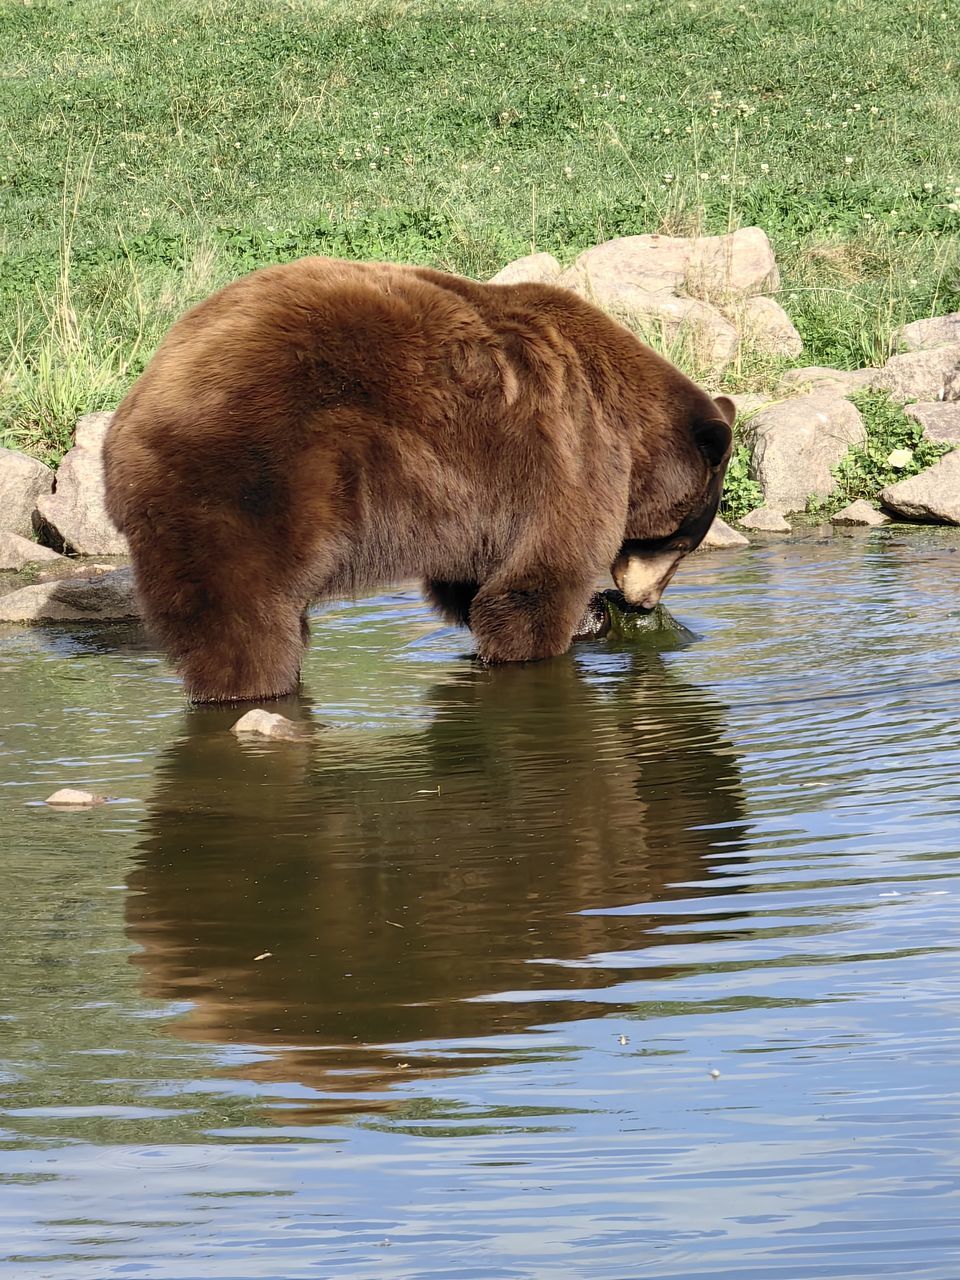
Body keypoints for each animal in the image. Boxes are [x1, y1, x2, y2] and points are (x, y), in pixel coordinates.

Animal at [103, 256, 737, 706]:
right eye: (681, 541)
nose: (642, 601)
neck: (625, 421)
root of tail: (132, 411)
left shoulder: (478, 499)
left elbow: (471, 581)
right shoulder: (571, 449)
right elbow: (540, 576)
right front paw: (563, 628)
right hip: (248, 480)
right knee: (241, 613)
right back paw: (254, 685)